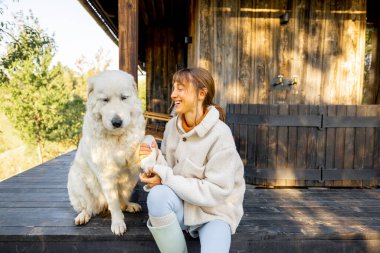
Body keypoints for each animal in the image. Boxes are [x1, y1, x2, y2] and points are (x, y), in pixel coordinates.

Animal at [67, 69, 145, 235]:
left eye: (124, 98)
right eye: (105, 100)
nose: (117, 122)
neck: (117, 138)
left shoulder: (132, 167)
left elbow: (122, 196)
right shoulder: (106, 175)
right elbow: (114, 203)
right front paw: (118, 223)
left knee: (122, 200)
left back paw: (129, 205)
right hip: (77, 181)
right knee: (89, 207)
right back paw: (83, 216)